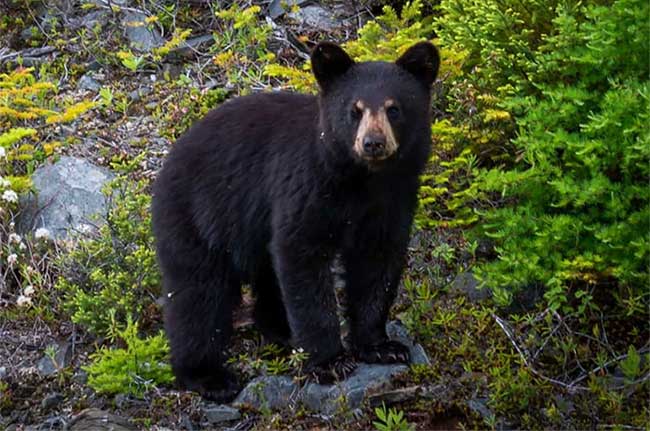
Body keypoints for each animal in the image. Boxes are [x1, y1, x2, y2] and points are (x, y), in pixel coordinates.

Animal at [149, 40, 438, 402]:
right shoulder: (306, 186)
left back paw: (281, 330)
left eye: (393, 108)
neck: (361, 179)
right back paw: (208, 376)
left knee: (266, 277)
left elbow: (377, 264)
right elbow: (302, 257)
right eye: (355, 110)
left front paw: (381, 346)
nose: (373, 143)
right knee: (198, 295)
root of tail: (168, 159)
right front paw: (329, 362)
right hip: (197, 217)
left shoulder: (393, 199)